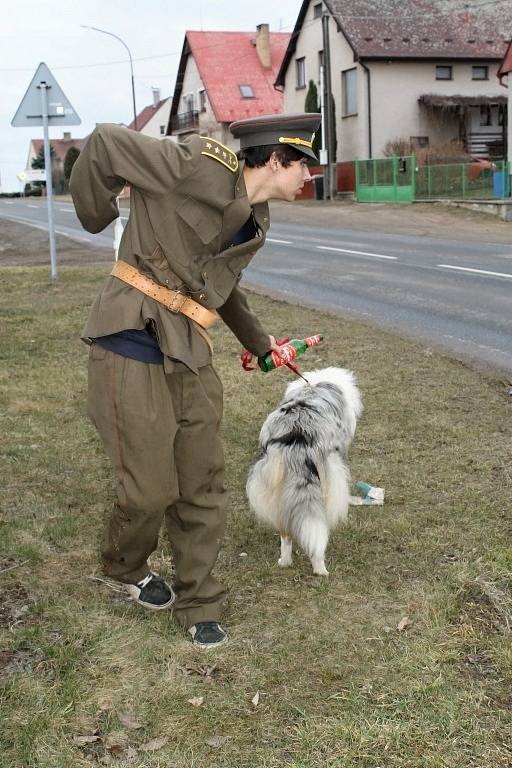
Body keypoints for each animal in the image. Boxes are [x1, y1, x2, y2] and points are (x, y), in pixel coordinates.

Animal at [246, 368, 362, 576]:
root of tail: (298, 437)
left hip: (275, 488)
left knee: (285, 534)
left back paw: (284, 562)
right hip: (331, 477)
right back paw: (321, 569)